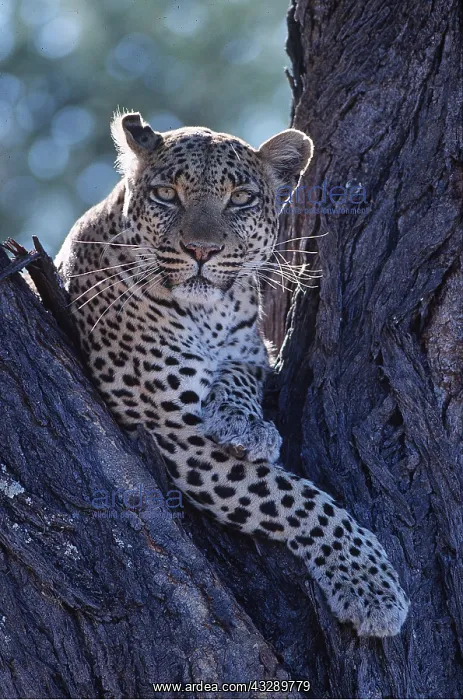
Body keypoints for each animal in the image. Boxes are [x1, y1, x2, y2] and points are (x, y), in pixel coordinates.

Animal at [55, 111, 409, 637]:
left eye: (240, 198)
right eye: (167, 194)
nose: (201, 251)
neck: (212, 314)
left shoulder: (252, 352)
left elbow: (240, 374)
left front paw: (243, 423)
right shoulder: (173, 430)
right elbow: (297, 499)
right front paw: (371, 585)